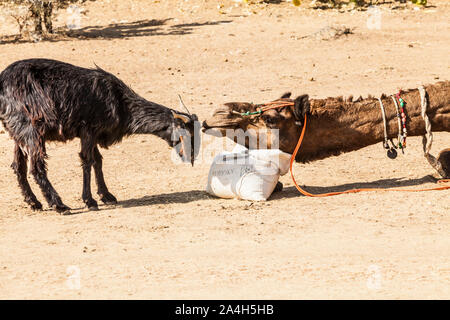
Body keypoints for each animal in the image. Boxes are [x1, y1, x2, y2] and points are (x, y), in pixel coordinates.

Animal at [0, 58, 199, 214]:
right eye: (186, 133)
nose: (191, 157)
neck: (121, 102)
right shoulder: (88, 130)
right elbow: (87, 161)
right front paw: (90, 201)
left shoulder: (95, 134)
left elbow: (98, 161)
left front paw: (106, 195)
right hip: (31, 129)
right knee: (36, 167)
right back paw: (59, 205)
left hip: (18, 132)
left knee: (18, 166)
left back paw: (34, 202)